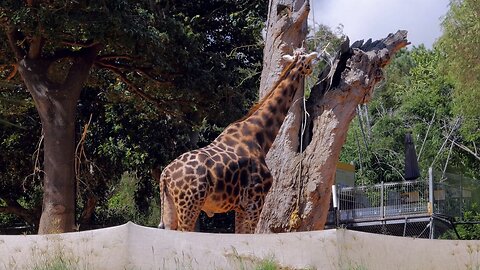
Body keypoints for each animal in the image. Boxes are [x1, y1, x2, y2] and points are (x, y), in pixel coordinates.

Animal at [155, 49, 318, 233]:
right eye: (308, 61)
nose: (312, 70)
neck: (259, 137)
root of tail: (165, 175)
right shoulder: (255, 201)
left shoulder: (241, 207)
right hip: (189, 204)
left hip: (171, 207)